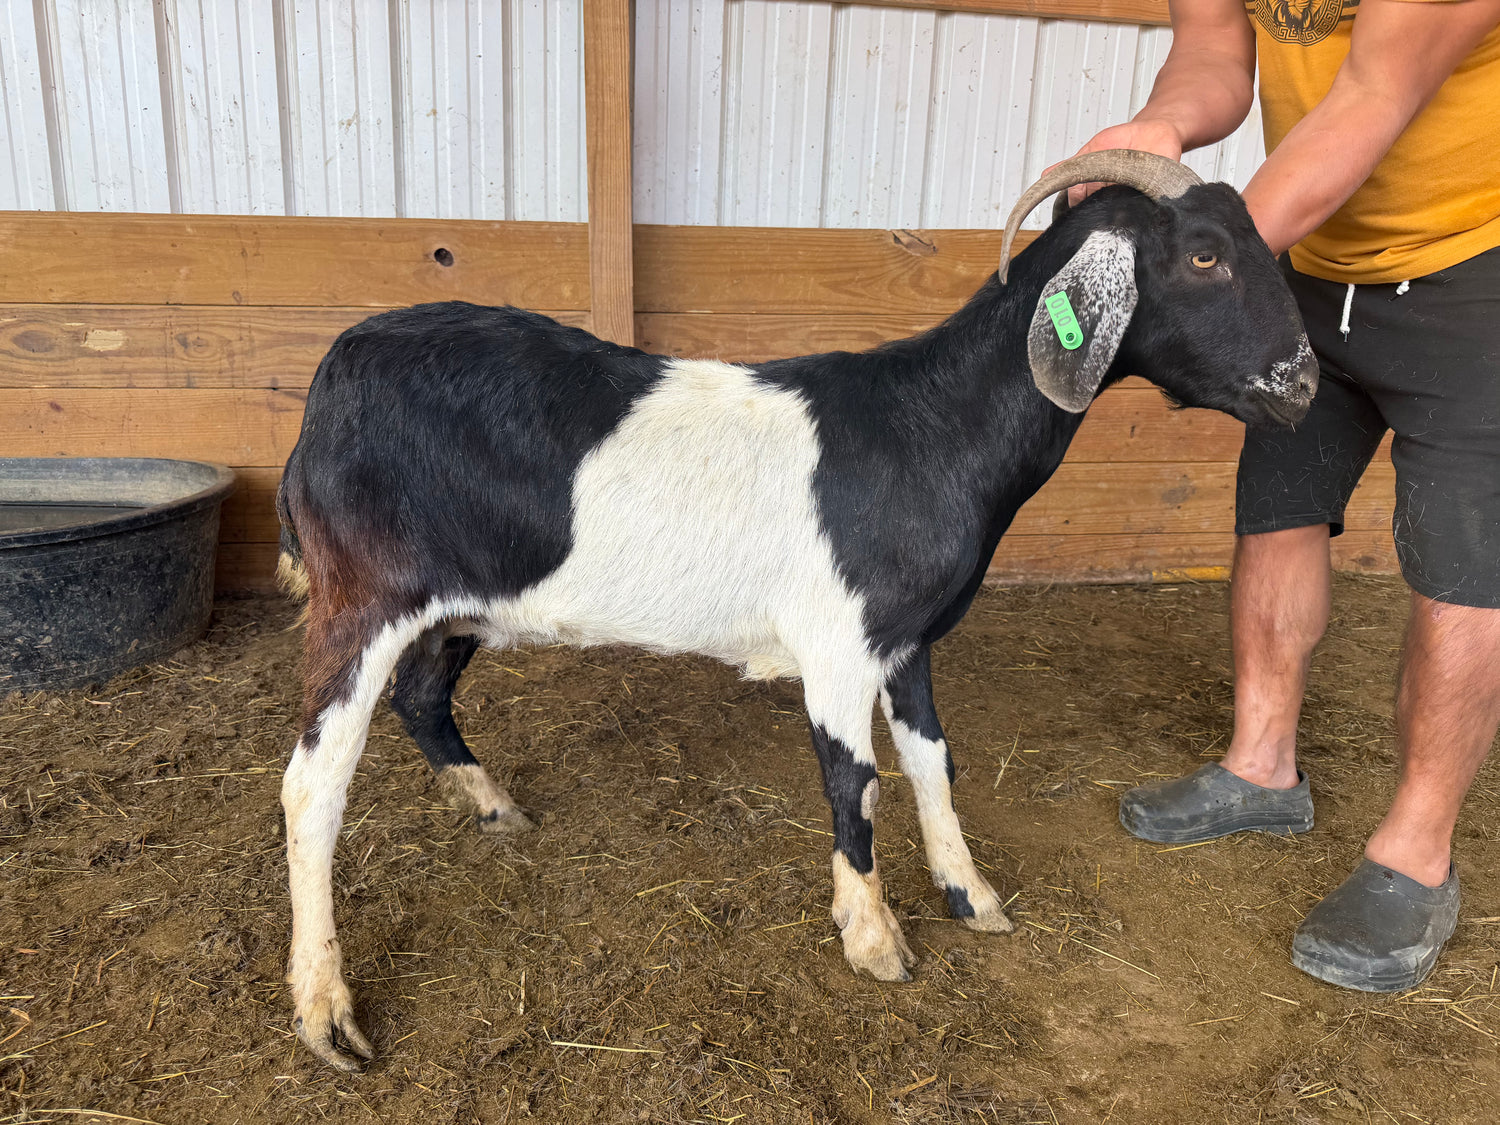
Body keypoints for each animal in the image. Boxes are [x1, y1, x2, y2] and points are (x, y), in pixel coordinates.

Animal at [275, 151, 1318, 1070]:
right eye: (1205, 256)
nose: (1302, 385)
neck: (928, 427)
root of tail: (331, 374)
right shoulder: (839, 642)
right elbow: (855, 782)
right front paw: (874, 937)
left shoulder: (907, 638)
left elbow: (933, 763)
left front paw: (970, 892)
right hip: (363, 598)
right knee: (312, 785)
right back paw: (326, 1009)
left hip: (458, 604)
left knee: (421, 697)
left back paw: (491, 803)